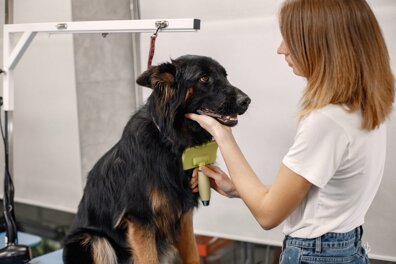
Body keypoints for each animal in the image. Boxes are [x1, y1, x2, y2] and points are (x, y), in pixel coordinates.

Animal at [63, 54, 251, 262]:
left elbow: (192, 255)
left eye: (225, 76)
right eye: (204, 78)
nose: (246, 101)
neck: (170, 141)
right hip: (92, 239)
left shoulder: (183, 215)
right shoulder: (140, 220)